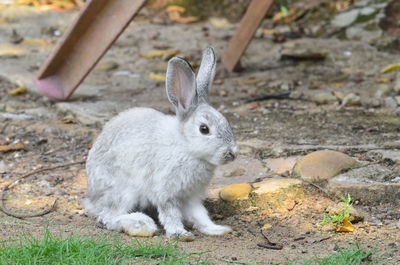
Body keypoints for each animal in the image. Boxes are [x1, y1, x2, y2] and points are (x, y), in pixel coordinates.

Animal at [82, 46, 238, 239]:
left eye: (226, 122)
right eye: (204, 129)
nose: (233, 153)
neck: (186, 147)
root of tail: (92, 197)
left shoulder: (192, 196)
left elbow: (200, 214)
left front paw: (217, 229)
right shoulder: (165, 191)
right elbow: (170, 213)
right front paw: (180, 234)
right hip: (123, 191)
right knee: (106, 218)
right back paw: (141, 224)